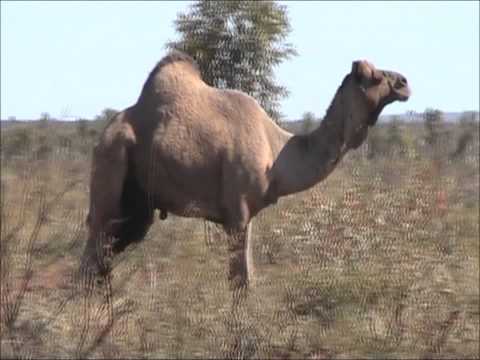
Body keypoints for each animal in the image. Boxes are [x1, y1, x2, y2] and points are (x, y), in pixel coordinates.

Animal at [80, 50, 410, 292]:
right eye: (375, 76)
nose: (405, 83)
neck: (276, 152)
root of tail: (104, 134)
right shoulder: (236, 213)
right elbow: (240, 282)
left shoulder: (246, 216)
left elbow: (246, 278)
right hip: (111, 163)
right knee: (92, 253)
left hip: (138, 205)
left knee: (105, 257)